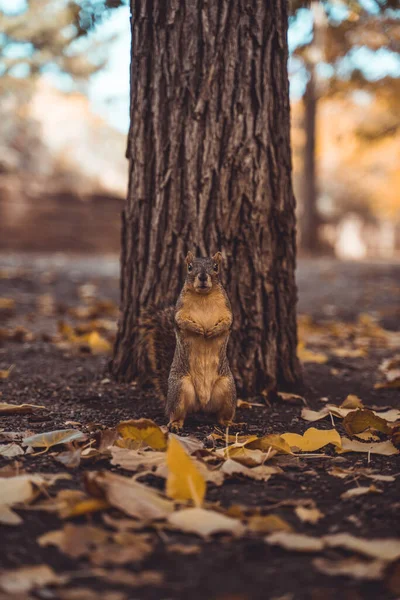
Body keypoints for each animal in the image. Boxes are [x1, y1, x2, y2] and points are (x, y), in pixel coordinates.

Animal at [138, 251, 238, 428]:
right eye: (189, 267)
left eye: (216, 267)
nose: (203, 277)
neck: (204, 296)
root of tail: (202, 406)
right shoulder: (180, 310)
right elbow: (181, 320)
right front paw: (198, 329)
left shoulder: (227, 310)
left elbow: (227, 322)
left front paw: (212, 331)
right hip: (180, 389)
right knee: (176, 413)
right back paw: (175, 424)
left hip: (228, 390)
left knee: (222, 415)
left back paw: (229, 423)